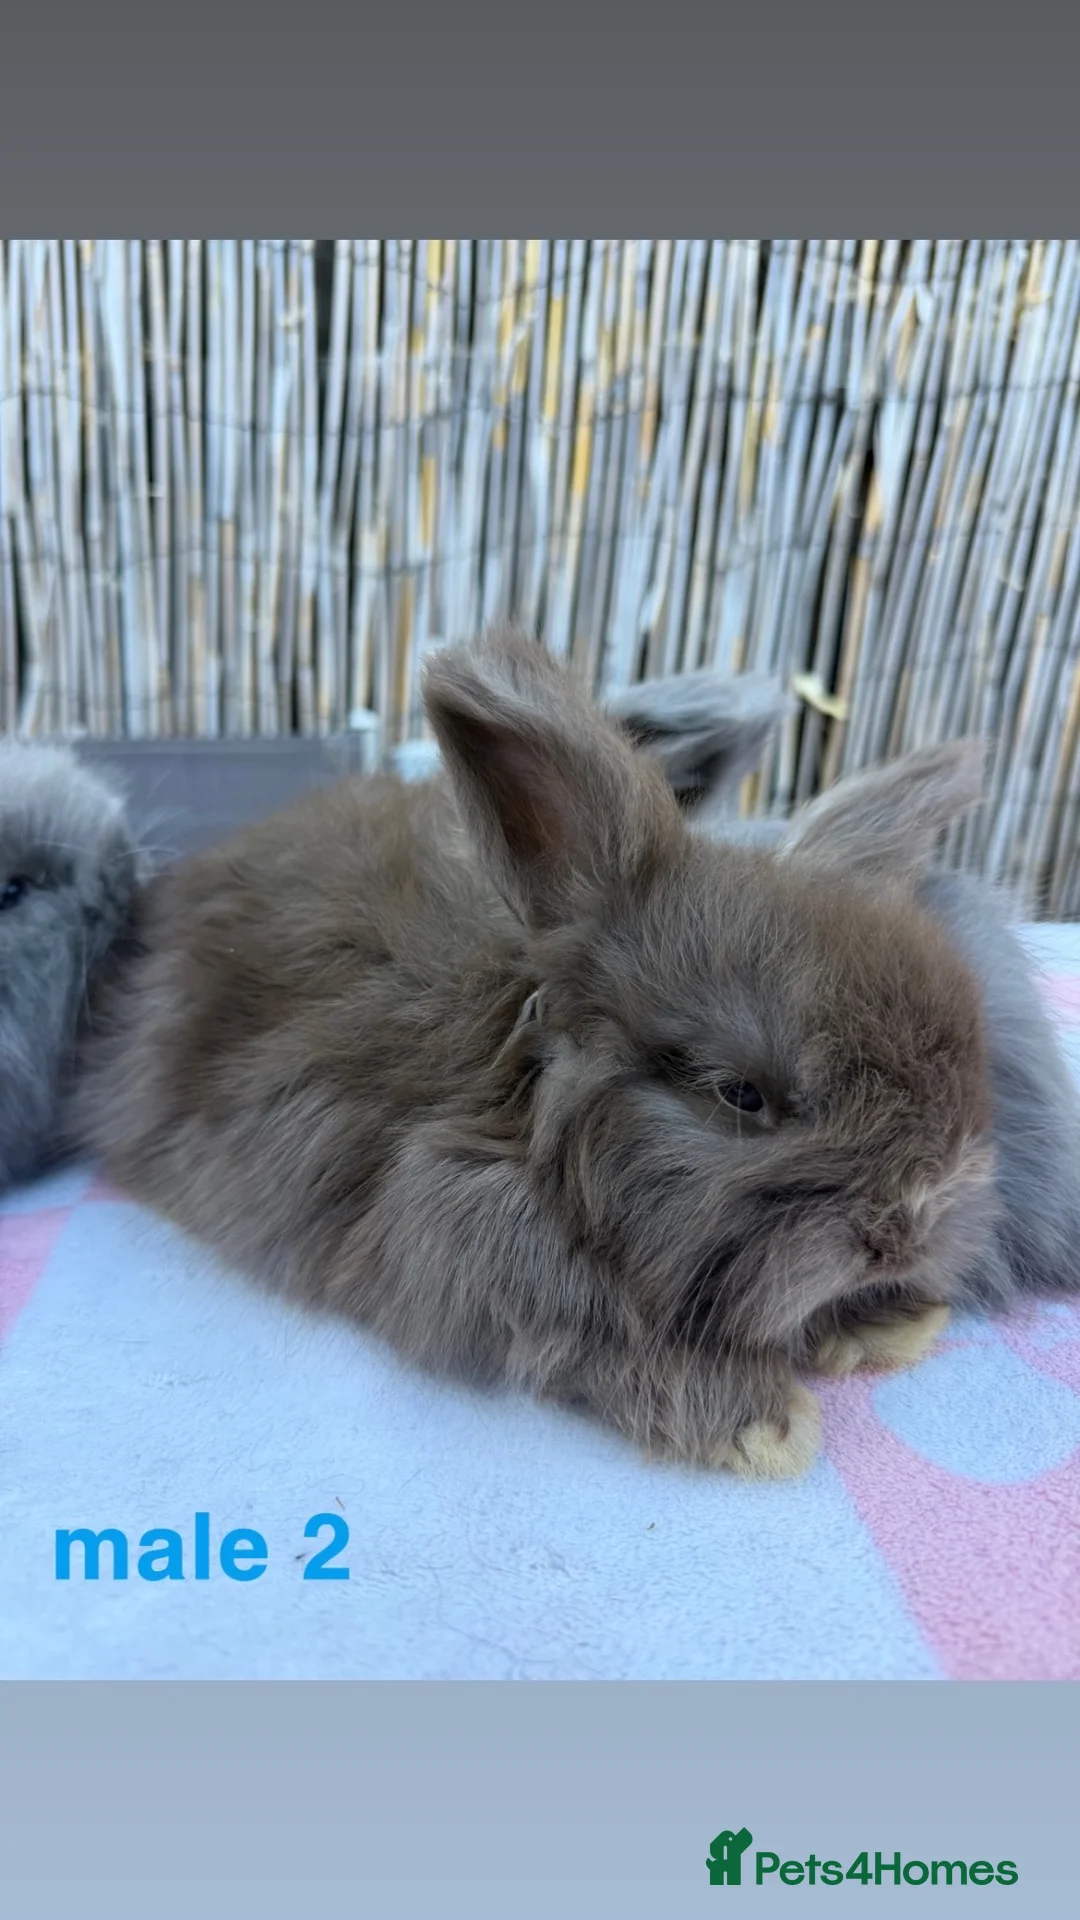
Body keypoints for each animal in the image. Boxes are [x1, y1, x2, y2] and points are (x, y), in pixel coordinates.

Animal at [71, 626, 1002, 1480]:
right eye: (739, 1093)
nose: (907, 1231)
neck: (521, 1091)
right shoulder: (473, 1265)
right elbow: (605, 1347)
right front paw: (763, 1422)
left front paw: (890, 1322)